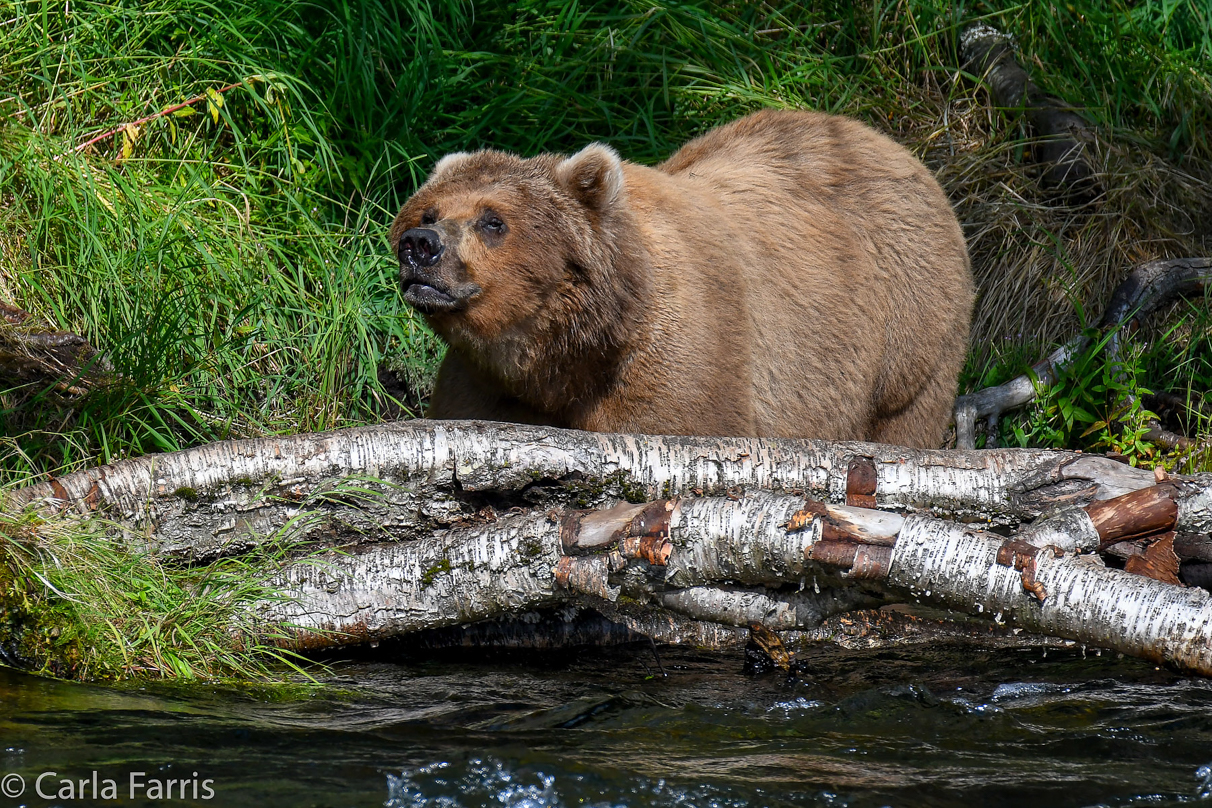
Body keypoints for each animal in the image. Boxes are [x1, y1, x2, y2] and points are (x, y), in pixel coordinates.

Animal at [387, 109, 974, 448]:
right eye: (427, 211)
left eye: (493, 220)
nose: (421, 246)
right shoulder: (486, 381)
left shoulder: (683, 350)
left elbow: (674, 419)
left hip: (909, 332)